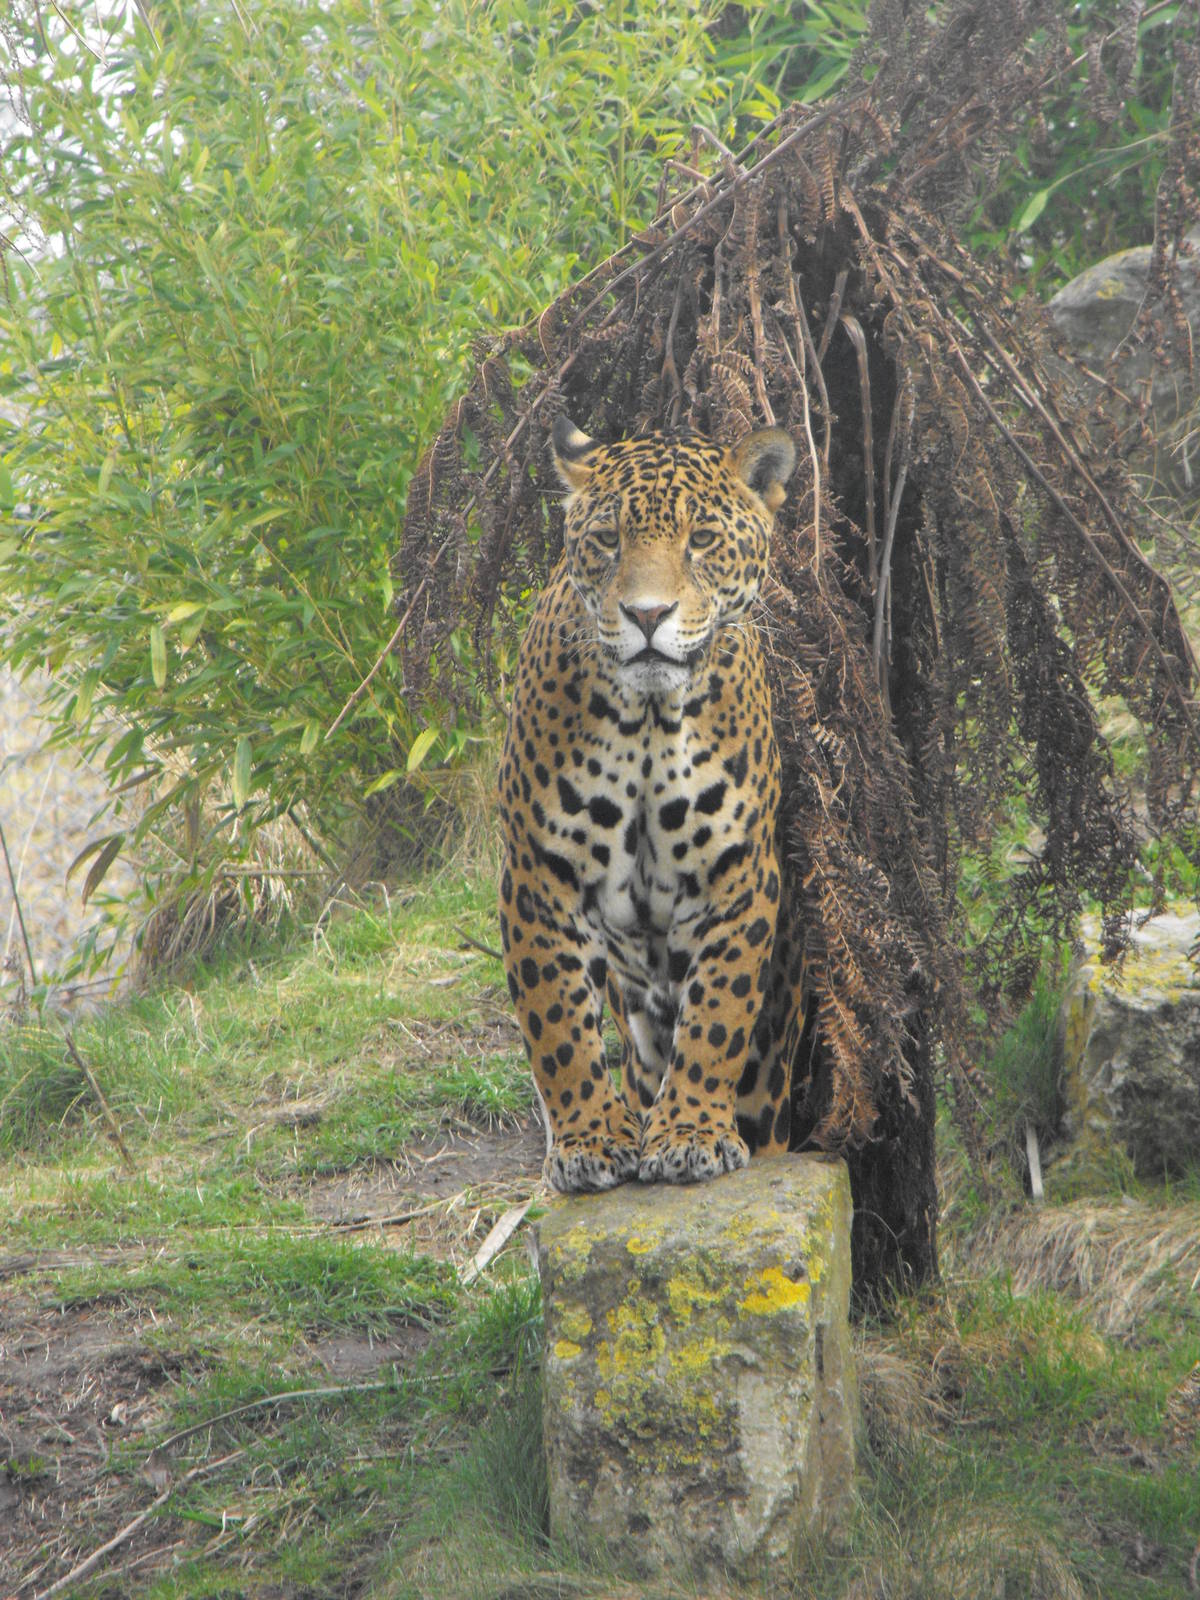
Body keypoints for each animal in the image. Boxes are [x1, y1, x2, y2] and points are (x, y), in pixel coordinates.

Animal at [498, 415, 808, 1193]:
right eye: (609, 539)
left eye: (702, 539)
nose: (646, 615)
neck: (646, 717)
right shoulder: (537, 878)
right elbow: (556, 1024)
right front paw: (587, 1140)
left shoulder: (738, 875)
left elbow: (717, 1016)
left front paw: (691, 1133)